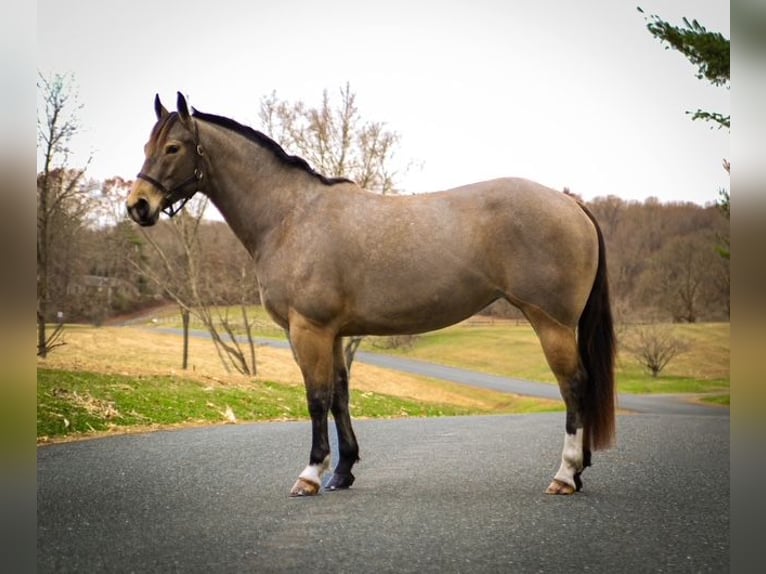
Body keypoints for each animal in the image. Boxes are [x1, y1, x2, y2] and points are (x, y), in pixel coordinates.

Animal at [126, 93, 616, 500]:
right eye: (147, 145)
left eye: (173, 148)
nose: (138, 205)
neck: (291, 216)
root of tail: (571, 203)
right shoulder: (335, 333)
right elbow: (340, 396)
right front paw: (342, 472)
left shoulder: (308, 330)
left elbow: (316, 397)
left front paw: (310, 475)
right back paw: (578, 472)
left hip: (551, 322)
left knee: (574, 385)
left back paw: (564, 475)